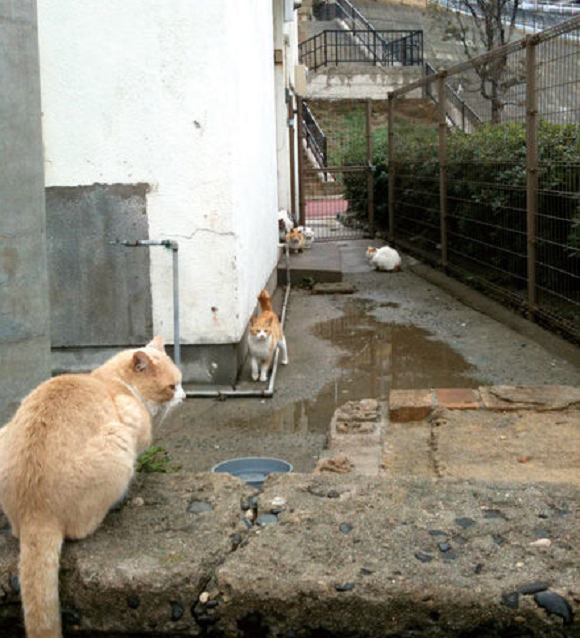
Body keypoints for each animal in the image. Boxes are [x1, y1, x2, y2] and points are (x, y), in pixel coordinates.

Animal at [0, 338, 184, 638]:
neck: (113, 381)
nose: (185, 396)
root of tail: (34, 514)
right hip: (118, 442)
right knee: (82, 528)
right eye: (172, 386)